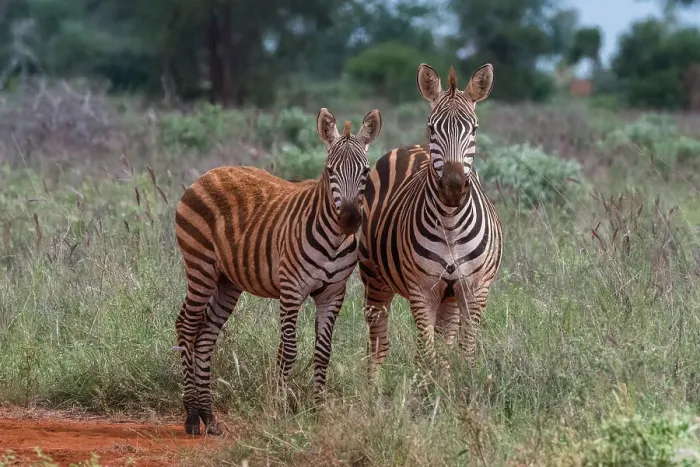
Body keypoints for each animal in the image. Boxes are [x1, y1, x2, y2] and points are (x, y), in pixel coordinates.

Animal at [174, 107, 382, 435]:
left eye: (365, 172)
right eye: (329, 172)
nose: (349, 220)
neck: (334, 239)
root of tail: (209, 173)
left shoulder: (333, 294)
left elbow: (323, 352)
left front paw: (319, 410)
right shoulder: (291, 289)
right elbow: (288, 350)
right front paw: (280, 409)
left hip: (226, 281)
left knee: (205, 334)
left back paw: (209, 416)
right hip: (200, 267)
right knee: (186, 325)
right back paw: (193, 416)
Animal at [358, 63, 503, 384]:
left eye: (474, 129)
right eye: (432, 128)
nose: (453, 187)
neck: (450, 223)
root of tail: (411, 147)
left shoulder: (475, 290)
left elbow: (464, 352)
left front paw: (462, 390)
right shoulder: (421, 290)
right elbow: (425, 353)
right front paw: (427, 393)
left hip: (449, 297)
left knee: (444, 343)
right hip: (373, 277)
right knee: (378, 343)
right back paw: (373, 391)